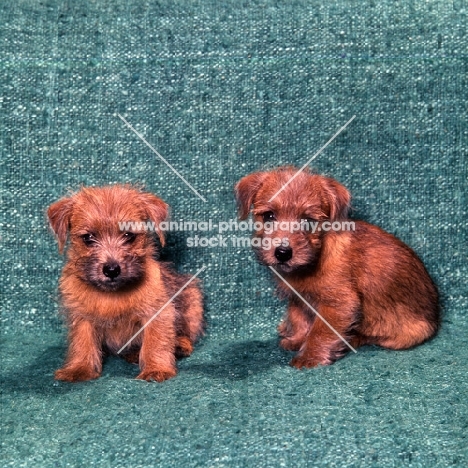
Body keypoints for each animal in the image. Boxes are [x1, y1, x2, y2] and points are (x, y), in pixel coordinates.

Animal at [48, 185, 204, 382]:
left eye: (129, 235)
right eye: (88, 238)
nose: (111, 269)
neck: (113, 294)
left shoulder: (157, 312)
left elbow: (156, 341)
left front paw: (156, 368)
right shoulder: (81, 316)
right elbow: (82, 342)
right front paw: (79, 368)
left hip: (192, 299)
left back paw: (180, 344)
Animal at [236, 166, 440, 368]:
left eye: (308, 221)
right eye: (269, 216)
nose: (283, 253)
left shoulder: (339, 304)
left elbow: (320, 331)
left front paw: (309, 356)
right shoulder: (299, 299)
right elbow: (299, 318)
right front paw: (297, 339)